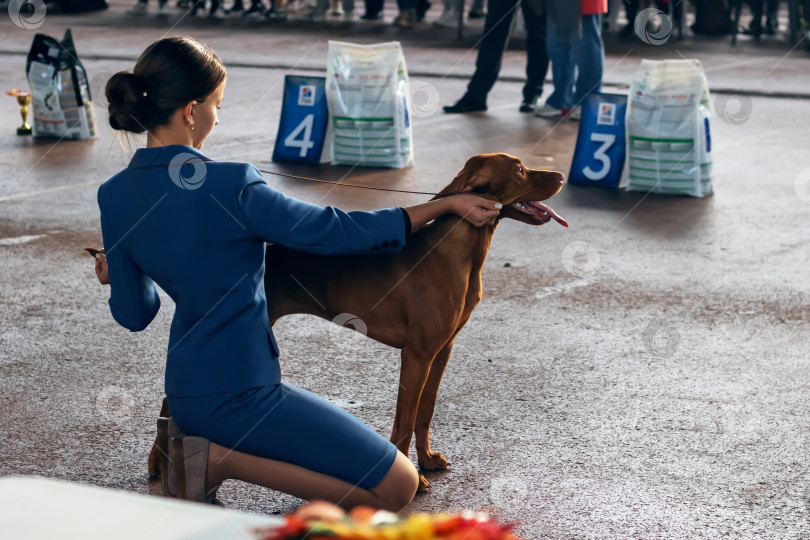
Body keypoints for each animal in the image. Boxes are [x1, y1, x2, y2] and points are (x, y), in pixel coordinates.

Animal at [134, 151, 560, 490]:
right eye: (520, 170)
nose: (559, 175)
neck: (460, 250)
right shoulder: (416, 355)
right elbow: (405, 420)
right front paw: (413, 478)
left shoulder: (442, 350)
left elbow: (425, 412)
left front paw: (427, 460)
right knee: (172, 400)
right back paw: (160, 465)